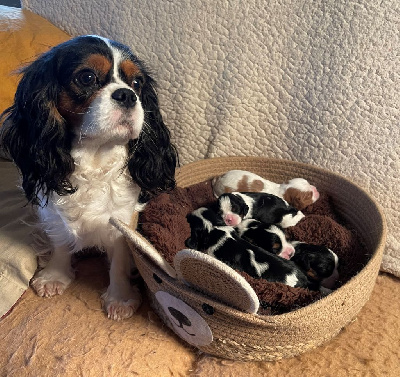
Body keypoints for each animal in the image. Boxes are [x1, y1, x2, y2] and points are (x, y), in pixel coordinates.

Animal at [0, 36, 178, 320]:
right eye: (87, 77)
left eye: (137, 83)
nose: (127, 95)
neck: (95, 156)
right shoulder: (53, 211)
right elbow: (61, 241)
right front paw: (55, 275)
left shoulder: (123, 218)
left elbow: (119, 258)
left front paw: (120, 298)